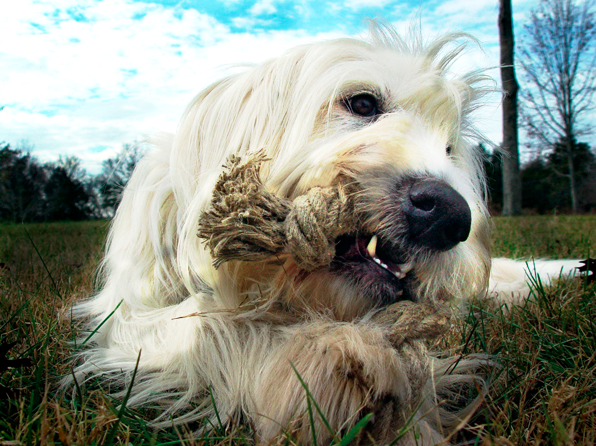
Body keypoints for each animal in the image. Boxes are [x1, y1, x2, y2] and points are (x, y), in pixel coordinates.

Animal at [72, 25, 580, 446]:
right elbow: (214, 325)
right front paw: (331, 354)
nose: (451, 218)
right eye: (362, 103)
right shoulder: (128, 312)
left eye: (450, 148)